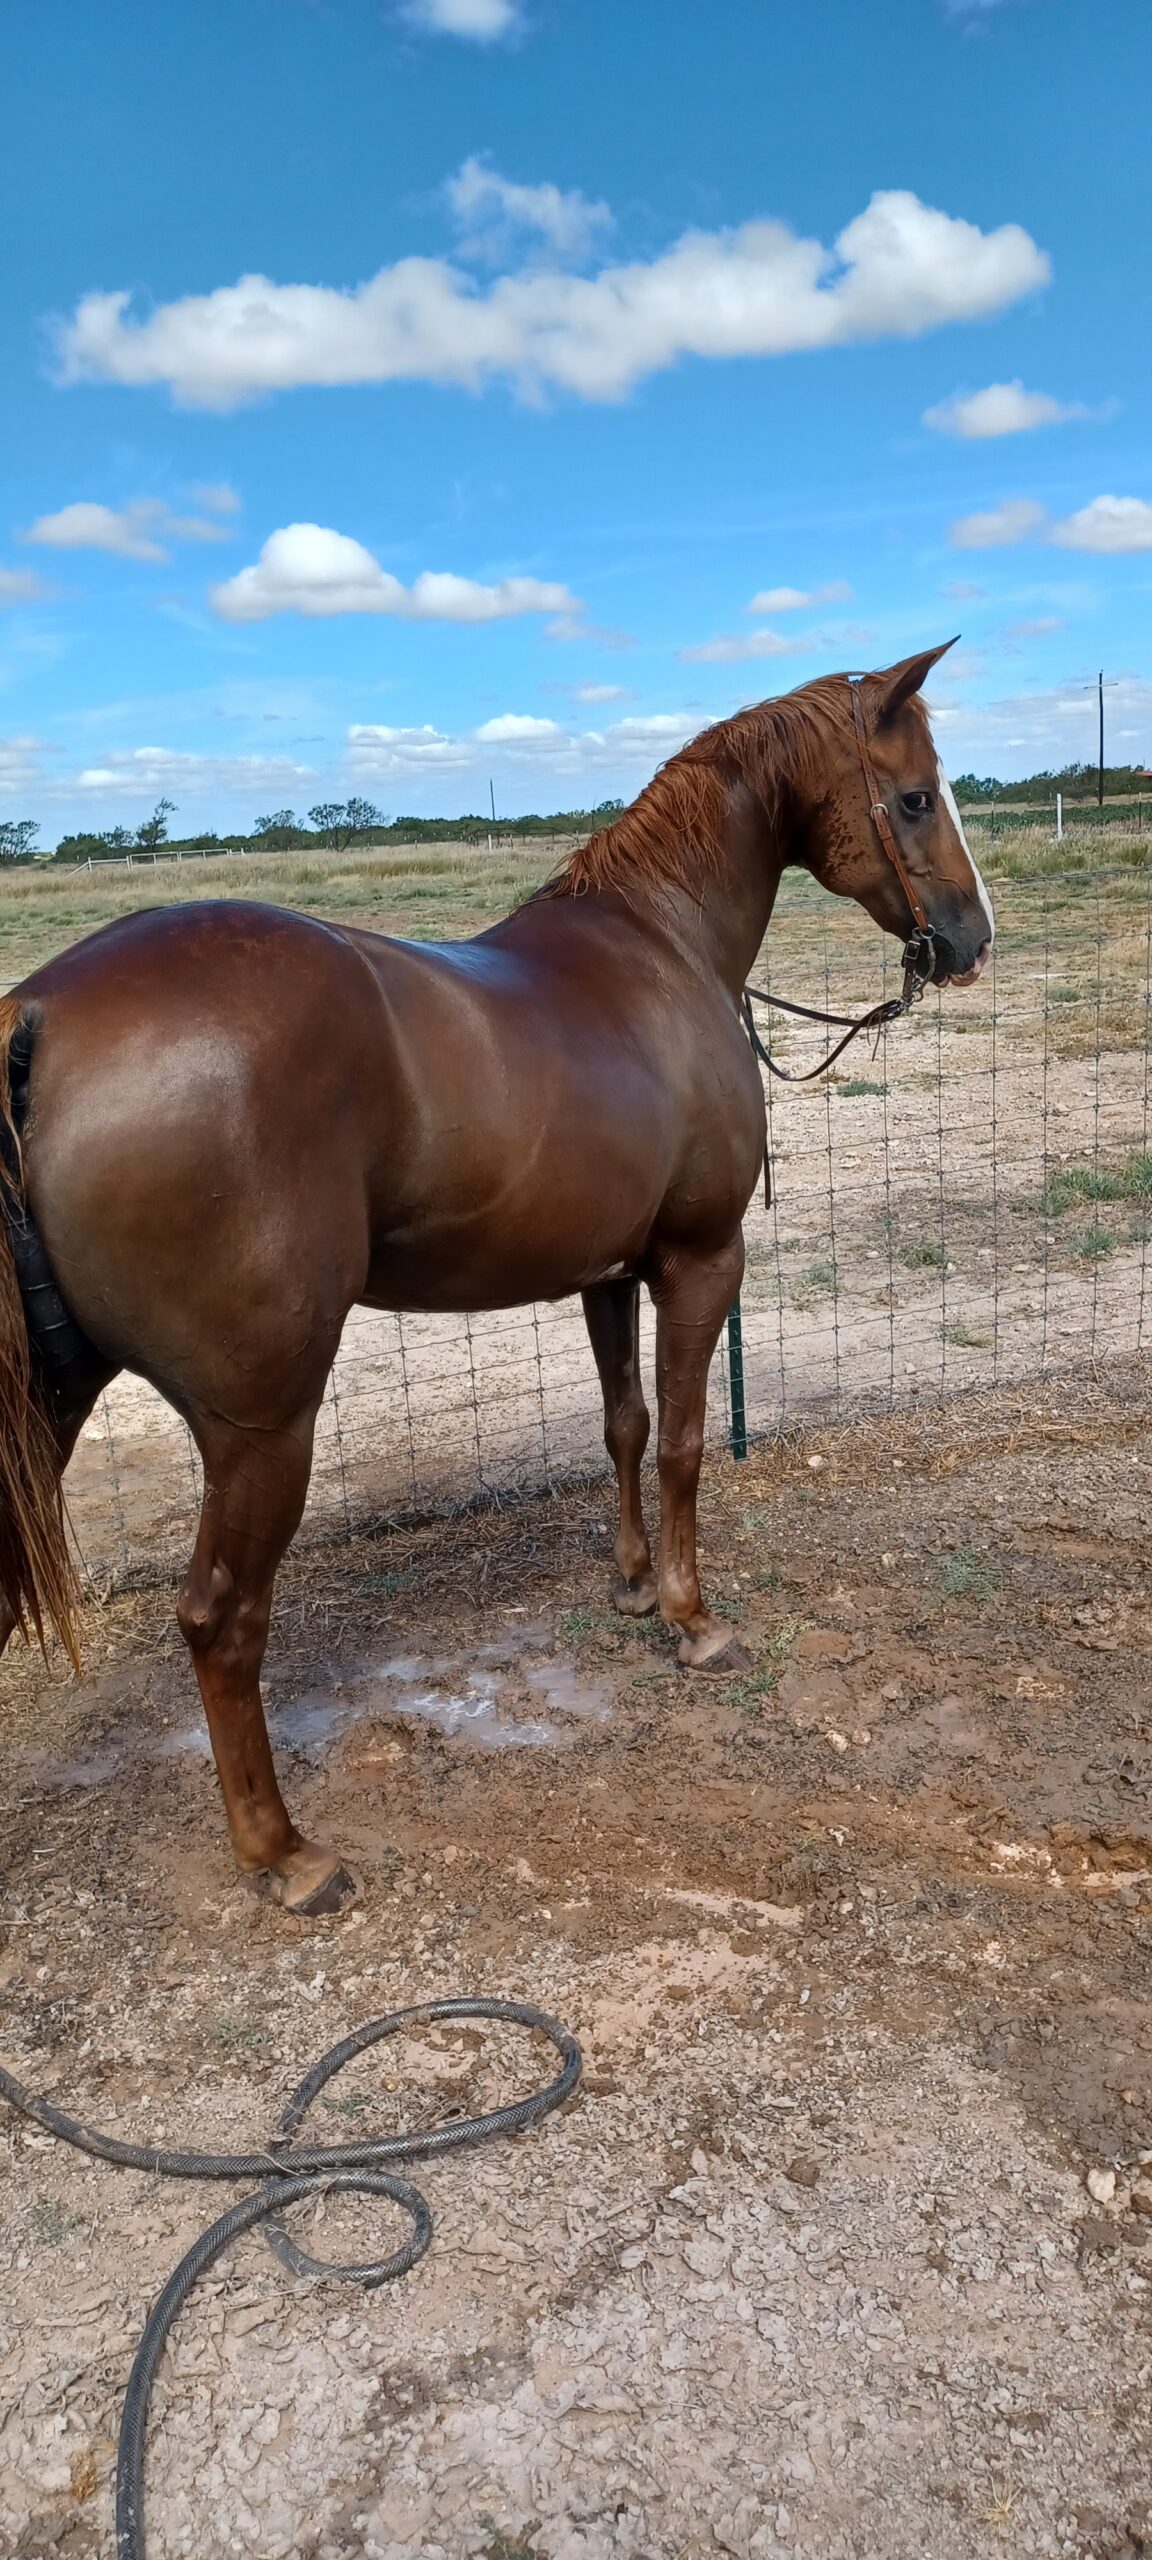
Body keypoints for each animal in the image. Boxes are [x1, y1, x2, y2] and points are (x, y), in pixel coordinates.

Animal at [0, 643, 992, 1916]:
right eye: (913, 796)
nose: (971, 941)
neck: (661, 948)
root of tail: (40, 1015)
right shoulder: (699, 1260)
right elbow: (681, 1443)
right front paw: (692, 1617)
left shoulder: (609, 1271)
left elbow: (623, 1426)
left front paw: (632, 1583)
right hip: (260, 1425)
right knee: (221, 1618)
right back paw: (284, 1851)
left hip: (57, 1399)